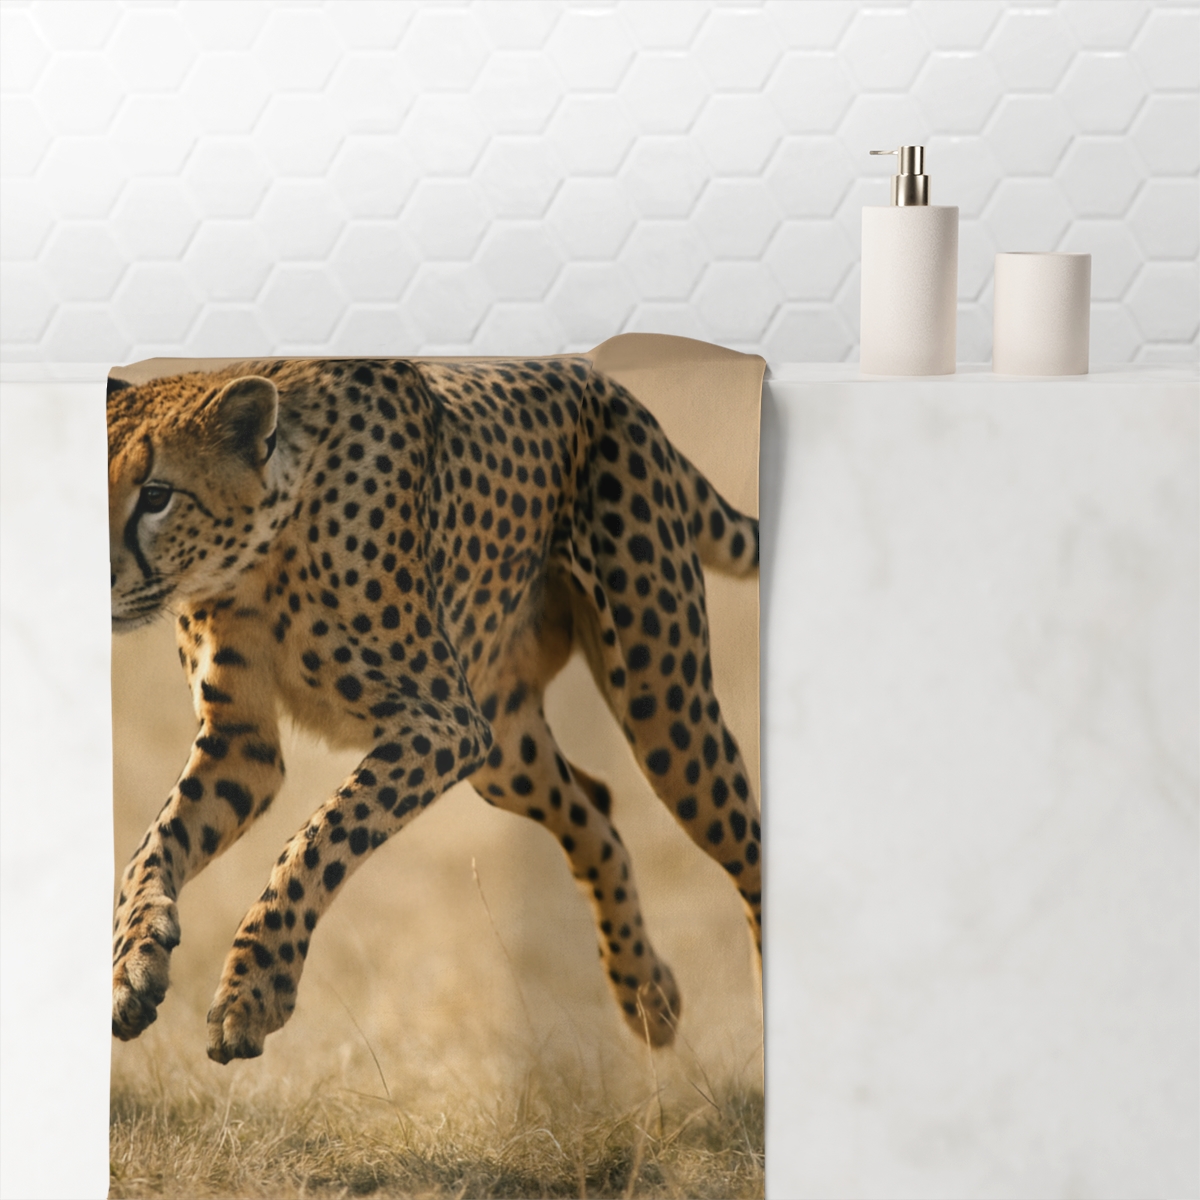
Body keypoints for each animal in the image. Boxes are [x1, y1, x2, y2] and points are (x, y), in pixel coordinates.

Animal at [107, 355, 762, 1064]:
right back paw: (646, 993)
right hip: (507, 751)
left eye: (156, 495)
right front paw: (133, 966)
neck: (259, 557)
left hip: (664, 715)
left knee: (749, 846)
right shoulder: (242, 744)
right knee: (598, 810)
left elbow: (319, 840)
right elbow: (151, 848)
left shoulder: (444, 724)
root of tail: (608, 385)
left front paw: (252, 994)